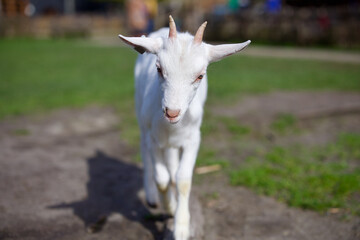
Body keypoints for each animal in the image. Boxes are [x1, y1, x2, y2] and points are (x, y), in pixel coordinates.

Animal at [119, 15, 249, 239]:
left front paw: (181, 226)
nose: (172, 112)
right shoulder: (153, 138)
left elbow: (183, 179)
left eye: (200, 76)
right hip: (141, 116)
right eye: (159, 69)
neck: (171, 127)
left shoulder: (193, 139)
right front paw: (170, 207)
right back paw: (152, 196)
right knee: (144, 149)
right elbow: (161, 177)